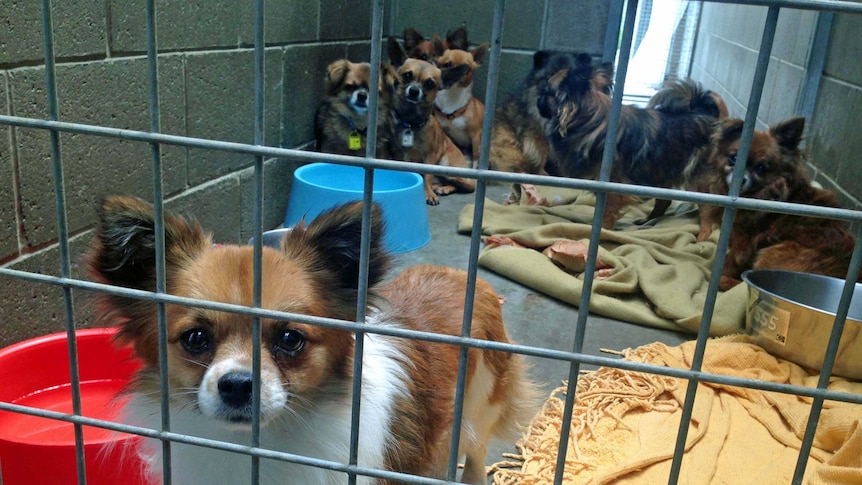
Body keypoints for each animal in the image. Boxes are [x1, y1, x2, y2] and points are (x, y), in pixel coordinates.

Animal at [388, 36, 476, 205]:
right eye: (407, 75)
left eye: (430, 83)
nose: (414, 91)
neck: (412, 123)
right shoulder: (396, 155)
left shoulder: (429, 157)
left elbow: (426, 176)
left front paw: (428, 194)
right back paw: (439, 186)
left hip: (446, 166)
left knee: (466, 185)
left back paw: (443, 188)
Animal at [700, 117, 860, 290]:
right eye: (733, 158)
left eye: (761, 167)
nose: (742, 178)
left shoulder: (742, 244)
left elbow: (730, 263)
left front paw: (717, 277)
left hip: (776, 251)